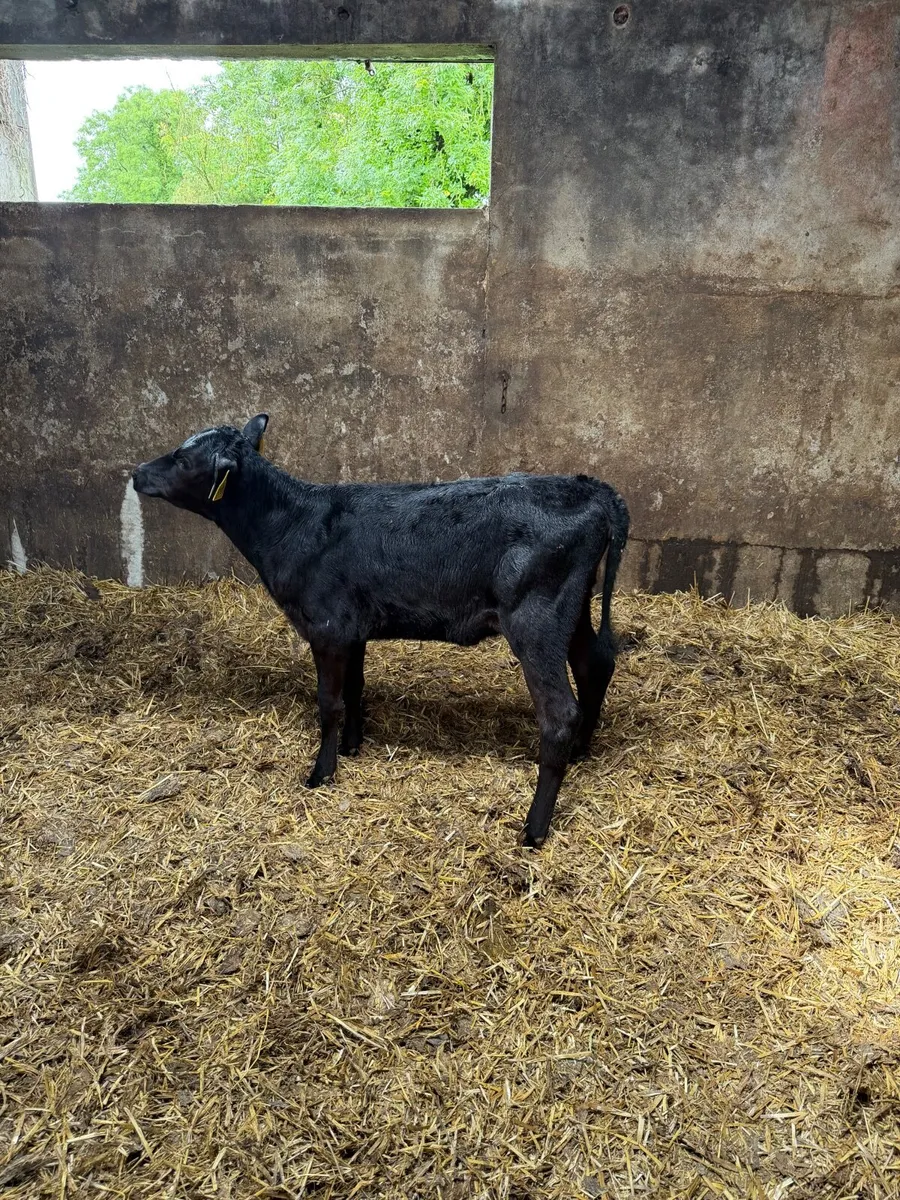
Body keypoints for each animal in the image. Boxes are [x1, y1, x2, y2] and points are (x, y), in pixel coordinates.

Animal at [132, 415, 629, 847]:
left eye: (182, 458)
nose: (136, 472)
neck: (292, 526)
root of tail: (591, 487)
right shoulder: (352, 629)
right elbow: (355, 688)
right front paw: (354, 746)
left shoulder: (327, 627)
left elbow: (328, 703)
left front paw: (322, 772)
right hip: (572, 609)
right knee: (595, 666)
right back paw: (581, 752)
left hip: (536, 618)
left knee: (559, 713)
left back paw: (534, 828)